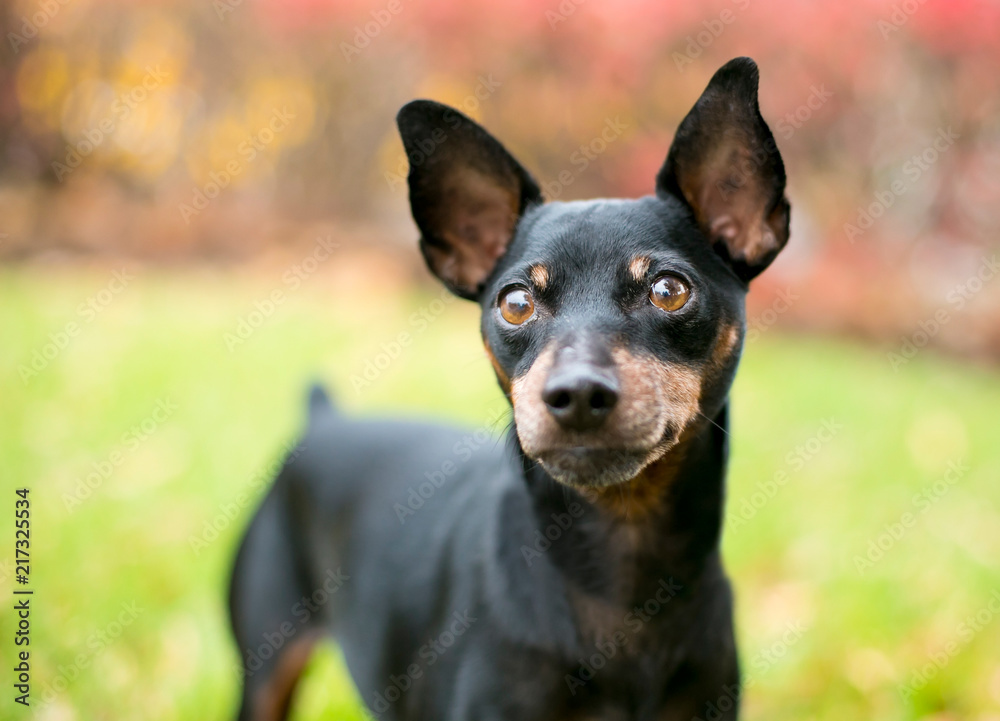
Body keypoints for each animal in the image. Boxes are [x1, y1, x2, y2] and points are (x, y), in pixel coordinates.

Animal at [229, 57, 788, 720]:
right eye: (515, 303)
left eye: (670, 291)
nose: (577, 393)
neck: (622, 571)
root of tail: (324, 416)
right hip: (265, 670)